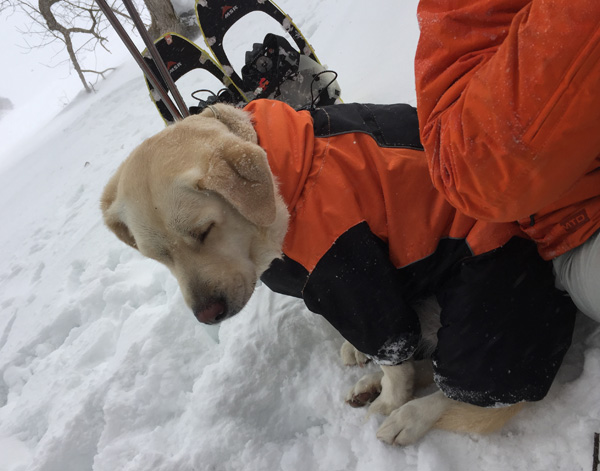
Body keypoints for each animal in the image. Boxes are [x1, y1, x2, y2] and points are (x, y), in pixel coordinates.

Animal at [101, 100, 576, 446]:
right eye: (158, 256)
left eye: (203, 231)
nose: (208, 315)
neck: (288, 180)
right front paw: (359, 356)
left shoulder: (350, 270)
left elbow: (394, 354)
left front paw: (392, 399)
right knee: (434, 365)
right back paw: (368, 384)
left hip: (488, 315)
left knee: (473, 391)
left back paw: (408, 414)